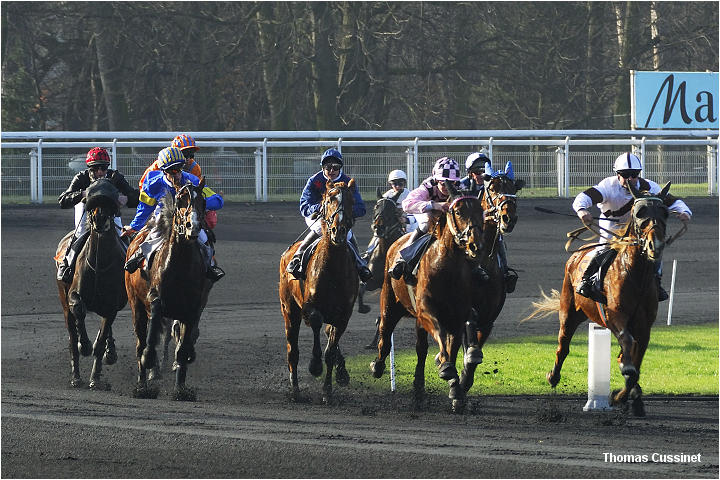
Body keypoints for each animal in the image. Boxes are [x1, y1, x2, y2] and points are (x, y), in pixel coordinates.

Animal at [54, 180, 126, 390]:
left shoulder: (111, 306)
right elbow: (79, 308)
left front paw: (96, 378)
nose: (100, 218)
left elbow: (100, 342)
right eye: (91, 200)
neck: (99, 264)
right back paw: (76, 376)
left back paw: (109, 353)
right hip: (63, 301)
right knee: (72, 335)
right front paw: (84, 345)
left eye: (112, 199)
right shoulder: (73, 295)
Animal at [125, 178, 211, 400]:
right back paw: (142, 386)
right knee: (141, 342)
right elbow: (149, 342)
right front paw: (150, 363)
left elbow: (182, 348)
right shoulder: (155, 300)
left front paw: (181, 389)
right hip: (136, 304)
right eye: (181, 199)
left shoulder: (192, 309)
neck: (180, 265)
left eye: (203, 202)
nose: (193, 226)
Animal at [282, 178, 360, 404]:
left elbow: (331, 351)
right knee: (292, 350)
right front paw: (315, 365)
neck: (333, 269)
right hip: (289, 310)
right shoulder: (309, 307)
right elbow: (316, 322)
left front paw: (328, 390)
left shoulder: (343, 314)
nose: (338, 230)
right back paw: (295, 390)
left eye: (351, 201)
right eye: (328, 199)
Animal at [372, 181, 484, 412]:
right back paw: (377, 366)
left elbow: (453, 344)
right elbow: (441, 335)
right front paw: (446, 368)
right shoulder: (426, 311)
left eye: (481, 211)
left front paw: (456, 389)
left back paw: (418, 388)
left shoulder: (457, 314)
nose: (475, 245)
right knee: (385, 334)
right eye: (458, 211)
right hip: (389, 303)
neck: (446, 267)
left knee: (421, 349)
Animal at [528, 182, 676, 414]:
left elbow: (636, 361)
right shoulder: (615, 316)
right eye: (639, 212)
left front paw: (626, 396)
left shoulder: (644, 326)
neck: (635, 275)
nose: (656, 245)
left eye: (665, 212)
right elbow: (628, 353)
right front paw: (624, 385)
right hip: (568, 313)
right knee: (563, 346)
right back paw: (553, 376)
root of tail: (577, 254)